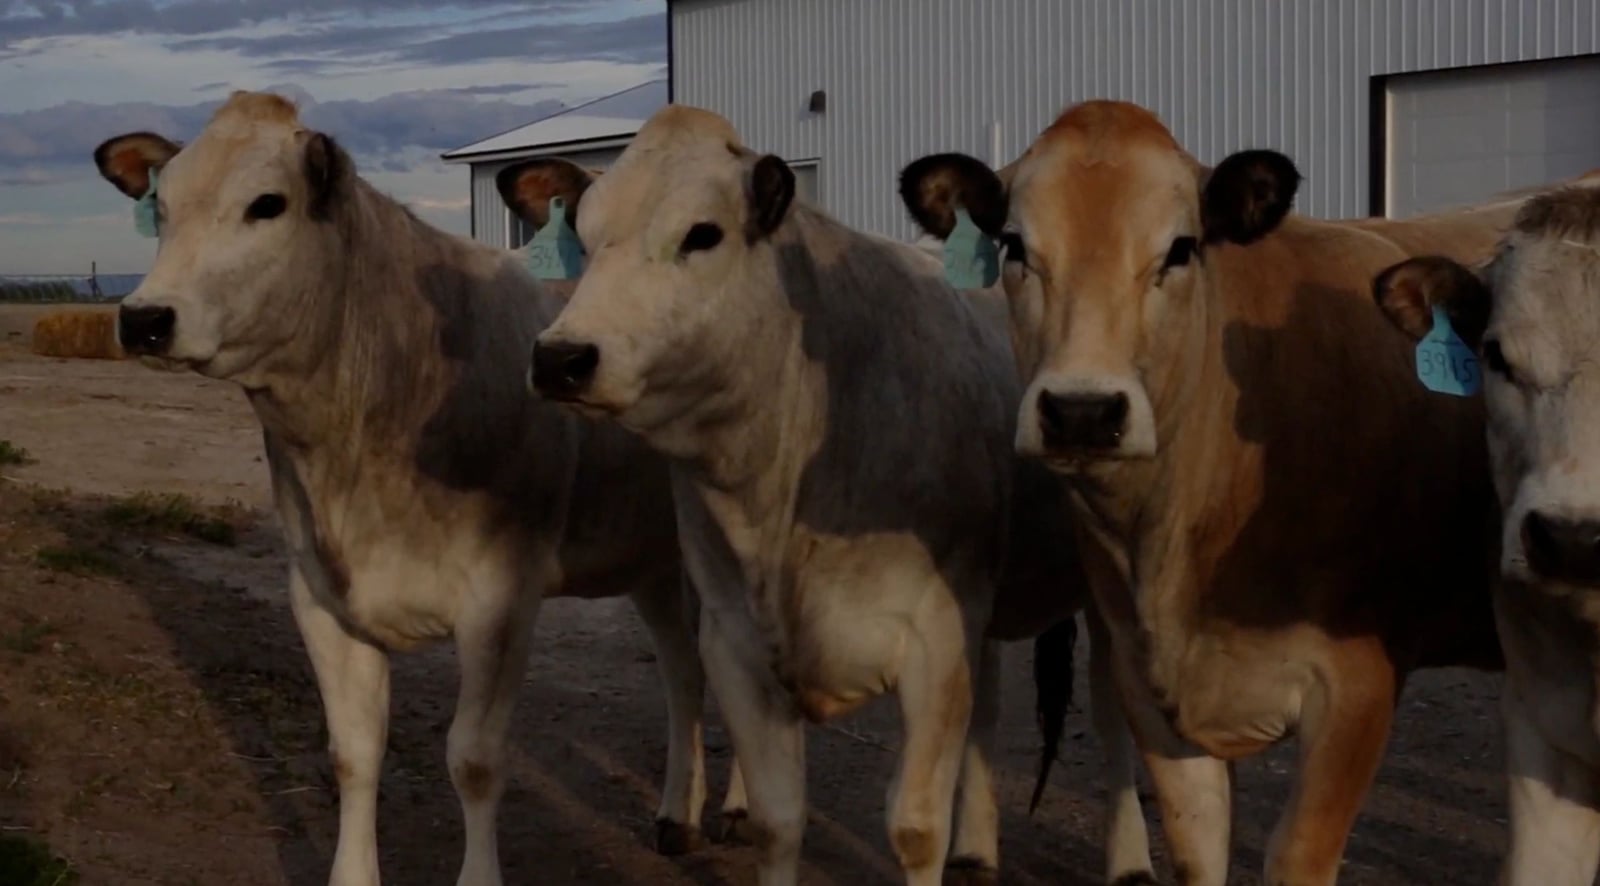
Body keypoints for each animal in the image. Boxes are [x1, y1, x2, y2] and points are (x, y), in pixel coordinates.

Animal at [91, 90, 743, 886]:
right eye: (162, 207)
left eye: (267, 204)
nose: (144, 317)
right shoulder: (319, 596)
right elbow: (353, 754)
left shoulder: (500, 599)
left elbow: (474, 760)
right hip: (651, 558)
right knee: (685, 673)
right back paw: (679, 814)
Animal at [497, 104, 1153, 886]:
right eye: (588, 239)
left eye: (702, 233)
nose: (560, 357)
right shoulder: (737, 644)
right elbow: (779, 821)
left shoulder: (934, 641)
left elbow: (914, 828)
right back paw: (976, 850)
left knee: (1113, 715)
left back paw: (1129, 860)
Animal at [899, 99, 1533, 885]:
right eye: (1015, 245)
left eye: (1180, 248)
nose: (1082, 411)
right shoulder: (1149, 682)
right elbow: (1197, 851)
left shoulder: (1357, 688)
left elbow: (1296, 857)